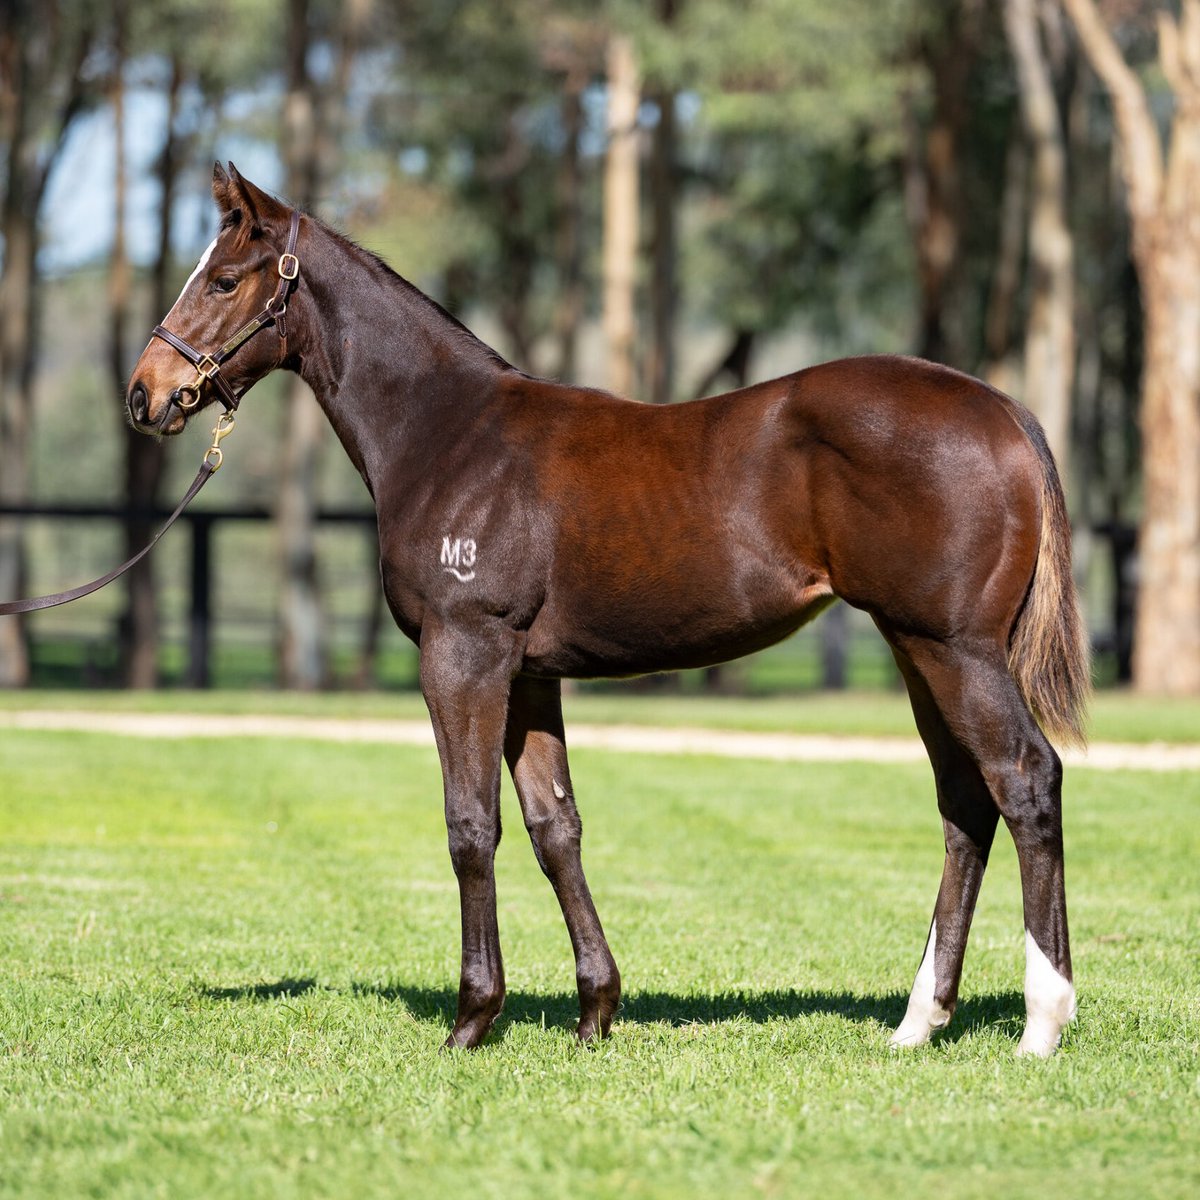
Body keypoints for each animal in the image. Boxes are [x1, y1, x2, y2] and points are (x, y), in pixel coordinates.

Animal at [126, 164, 1094, 1056]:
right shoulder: (528, 676)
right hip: (915, 647)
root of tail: (1004, 412)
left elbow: (470, 825)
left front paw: (472, 1018)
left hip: (956, 648)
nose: (145, 392)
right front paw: (596, 1010)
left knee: (1025, 778)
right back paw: (918, 1022)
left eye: (223, 279)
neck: (448, 434)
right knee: (965, 800)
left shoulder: (463, 654)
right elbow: (555, 827)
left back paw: (1041, 1023)